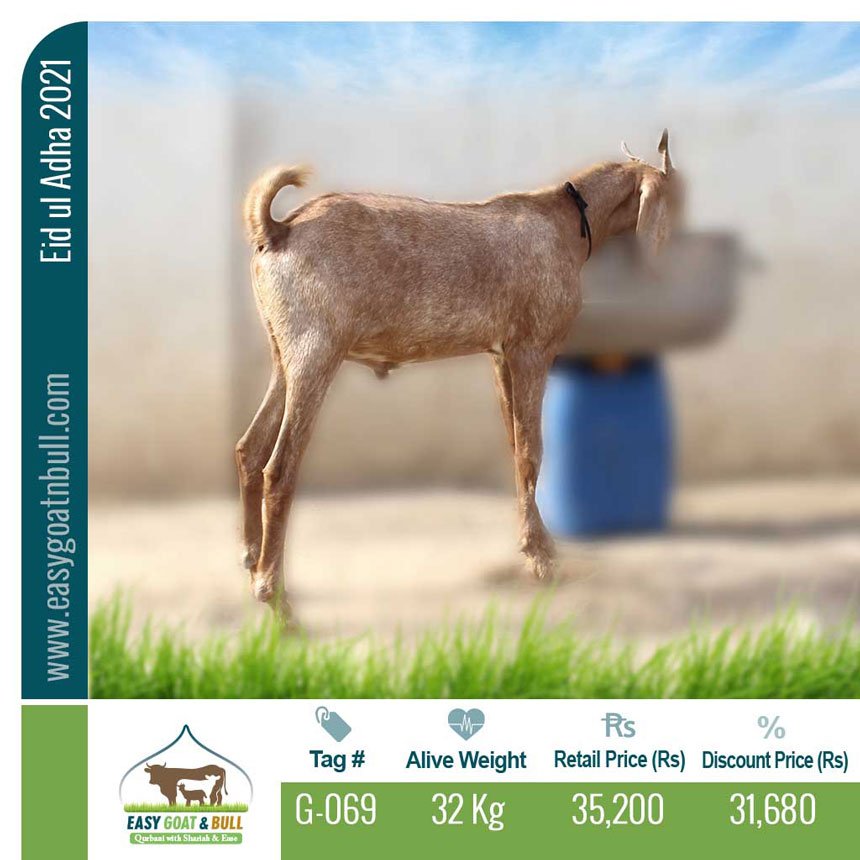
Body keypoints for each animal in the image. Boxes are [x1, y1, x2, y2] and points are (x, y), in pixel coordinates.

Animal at [237, 130, 682, 619]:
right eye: (675, 197)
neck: (566, 222)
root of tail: (278, 229)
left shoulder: (500, 354)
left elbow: (515, 444)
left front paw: (534, 545)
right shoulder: (532, 348)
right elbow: (532, 450)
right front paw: (543, 561)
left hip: (284, 352)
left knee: (250, 449)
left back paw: (251, 560)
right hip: (315, 351)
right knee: (280, 468)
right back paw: (276, 598)